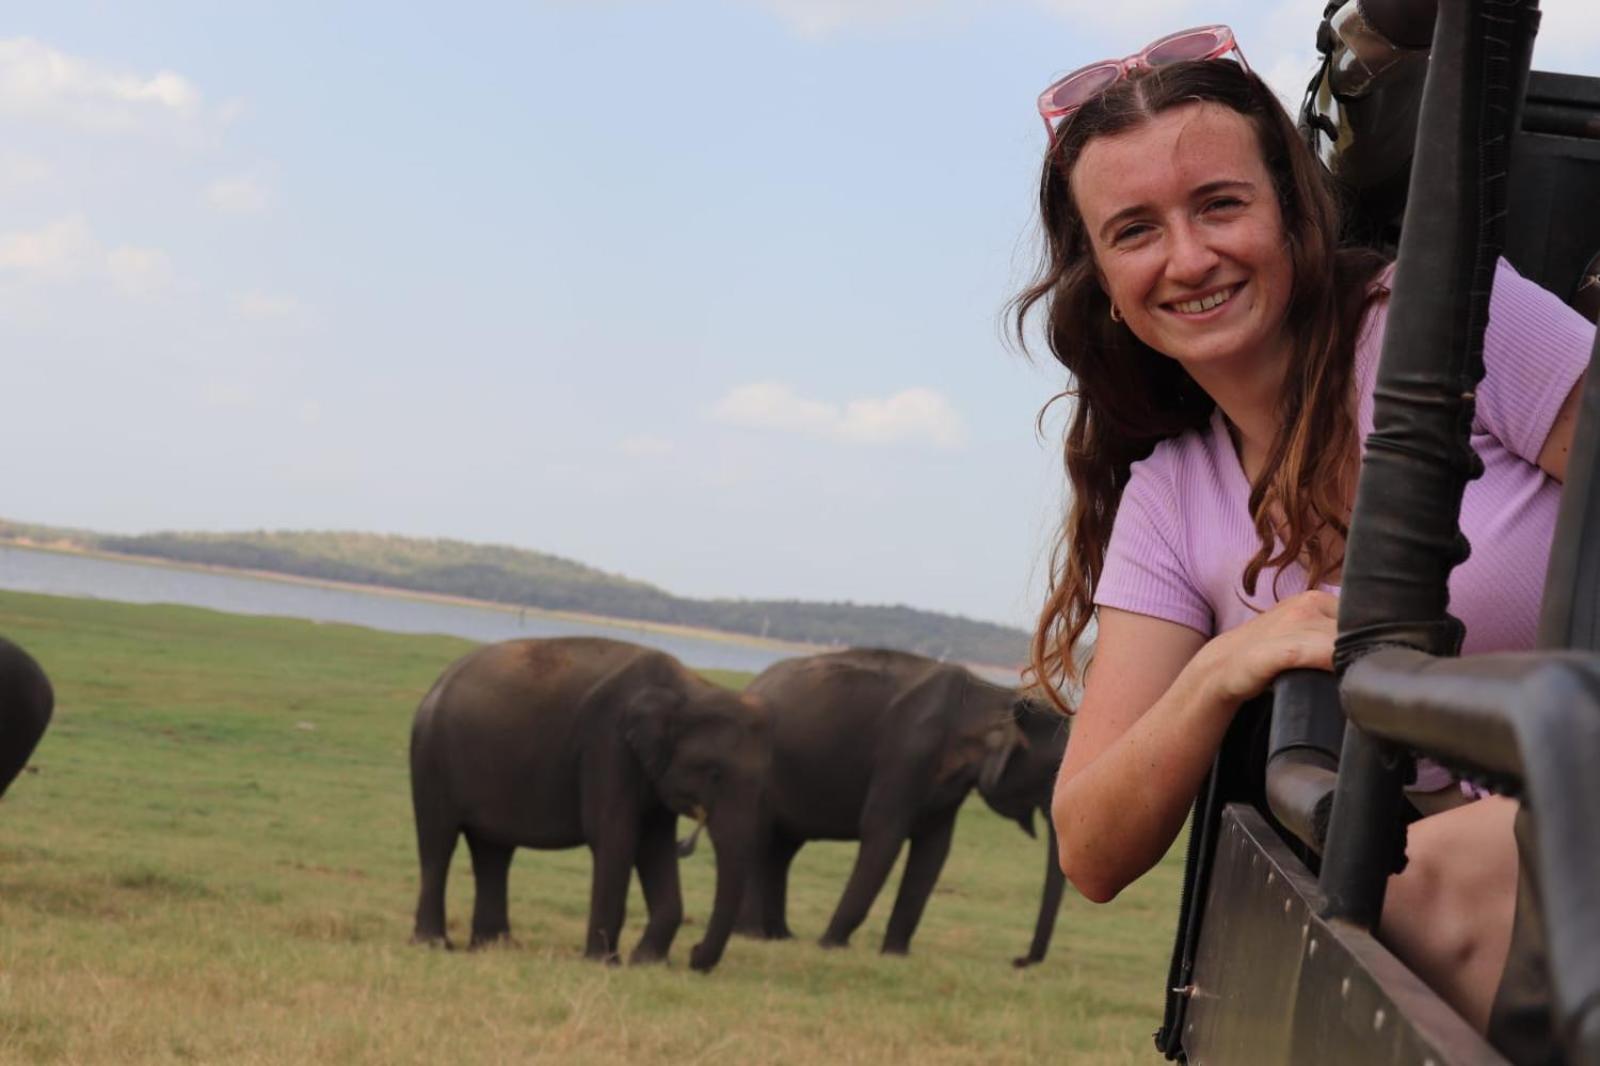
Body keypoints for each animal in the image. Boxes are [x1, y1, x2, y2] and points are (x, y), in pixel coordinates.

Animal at [409, 633, 764, 966]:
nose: (693, 954)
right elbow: (616, 837)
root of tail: (438, 683)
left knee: (493, 851)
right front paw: (605, 963)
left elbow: (656, 847)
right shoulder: (608, 745)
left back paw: (496, 947)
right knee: (438, 842)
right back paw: (434, 944)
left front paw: (647, 962)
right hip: (432, 756)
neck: (690, 687)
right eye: (715, 774)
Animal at [732, 646, 1068, 960]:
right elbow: (884, 835)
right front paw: (831, 945)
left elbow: (934, 850)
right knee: (760, 841)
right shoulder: (907, 751)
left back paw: (780, 936)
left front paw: (895, 954)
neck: (992, 695)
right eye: (1055, 771)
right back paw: (753, 935)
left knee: (782, 850)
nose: (1018, 960)